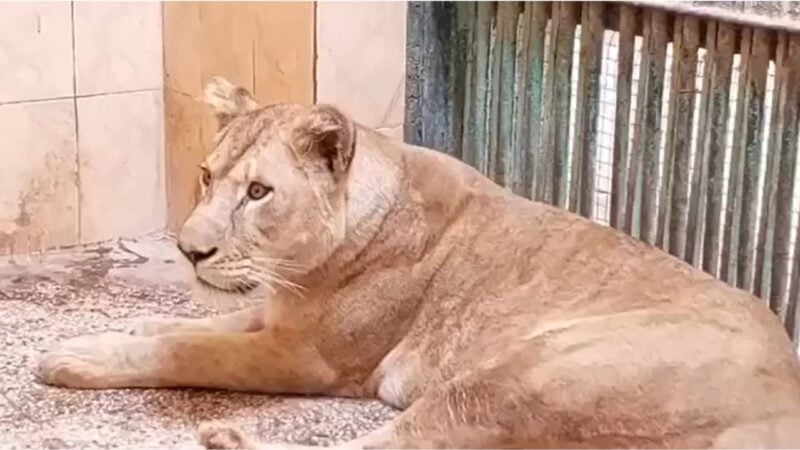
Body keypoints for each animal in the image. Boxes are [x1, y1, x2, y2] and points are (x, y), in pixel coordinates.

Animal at [37, 76, 800, 449]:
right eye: (206, 176)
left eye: (258, 192)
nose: (190, 249)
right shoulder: (281, 319)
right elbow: (191, 327)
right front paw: (108, 332)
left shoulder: (307, 358)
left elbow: (193, 348)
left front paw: (70, 357)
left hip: (519, 378)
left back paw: (225, 437)